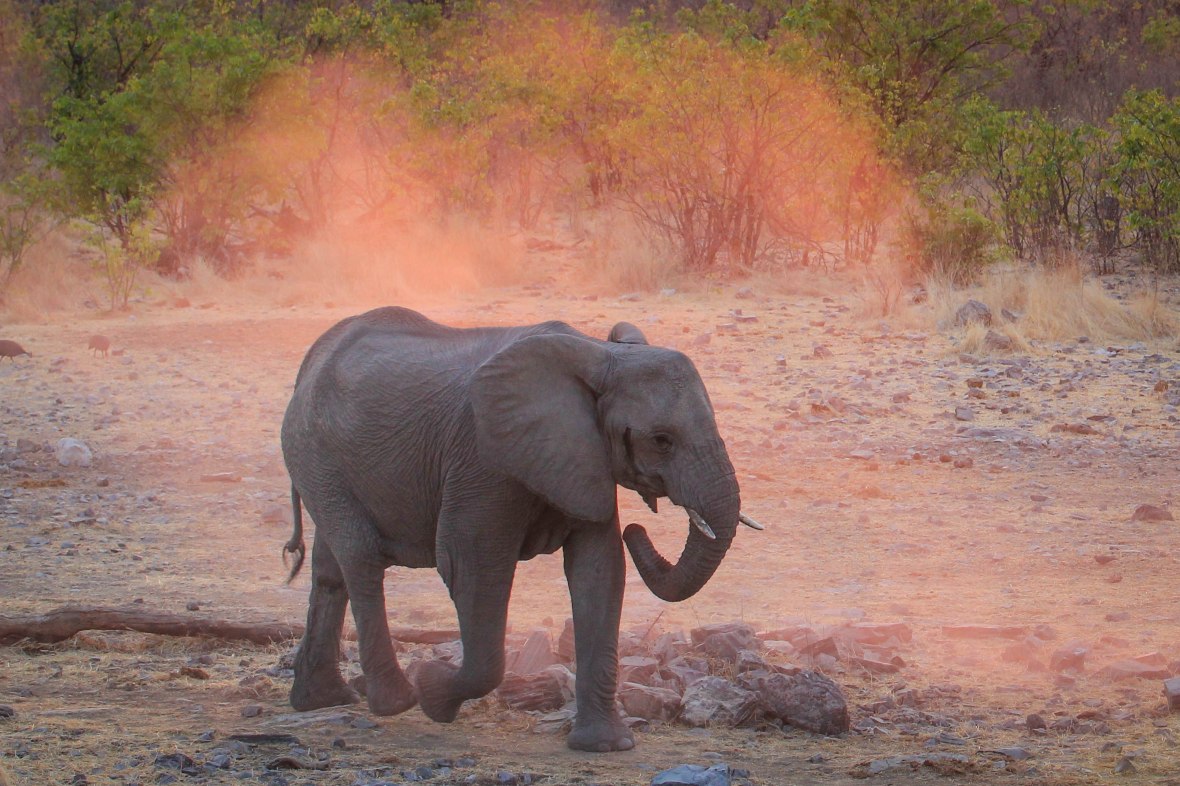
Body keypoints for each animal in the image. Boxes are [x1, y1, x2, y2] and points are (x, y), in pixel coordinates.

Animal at [280, 306, 760, 752]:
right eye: (662, 440)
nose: (640, 528)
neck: (599, 354)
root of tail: (308, 364)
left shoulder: (580, 455)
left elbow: (600, 570)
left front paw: (605, 746)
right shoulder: (480, 461)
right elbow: (470, 565)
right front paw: (432, 691)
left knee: (330, 569)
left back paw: (321, 700)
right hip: (317, 454)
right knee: (361, 560)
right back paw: (395, 700)